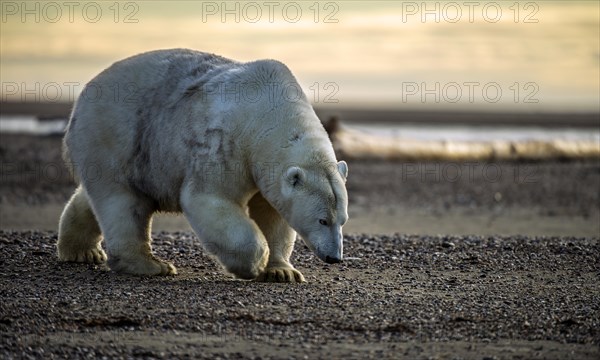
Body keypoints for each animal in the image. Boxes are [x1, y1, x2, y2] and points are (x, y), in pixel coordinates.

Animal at [57, 49, 346, 282]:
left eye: (342, 220)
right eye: (322, 220)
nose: (334, 257)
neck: (269, 110)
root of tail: (83, 94)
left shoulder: (267, 165)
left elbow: (273, 212)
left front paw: (282, 271)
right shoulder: (226, 143)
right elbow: (208, 197)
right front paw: (254, 263)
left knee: (96, 198)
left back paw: (82, 251)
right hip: (115, 135)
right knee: (122, 202)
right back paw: (151, 265)